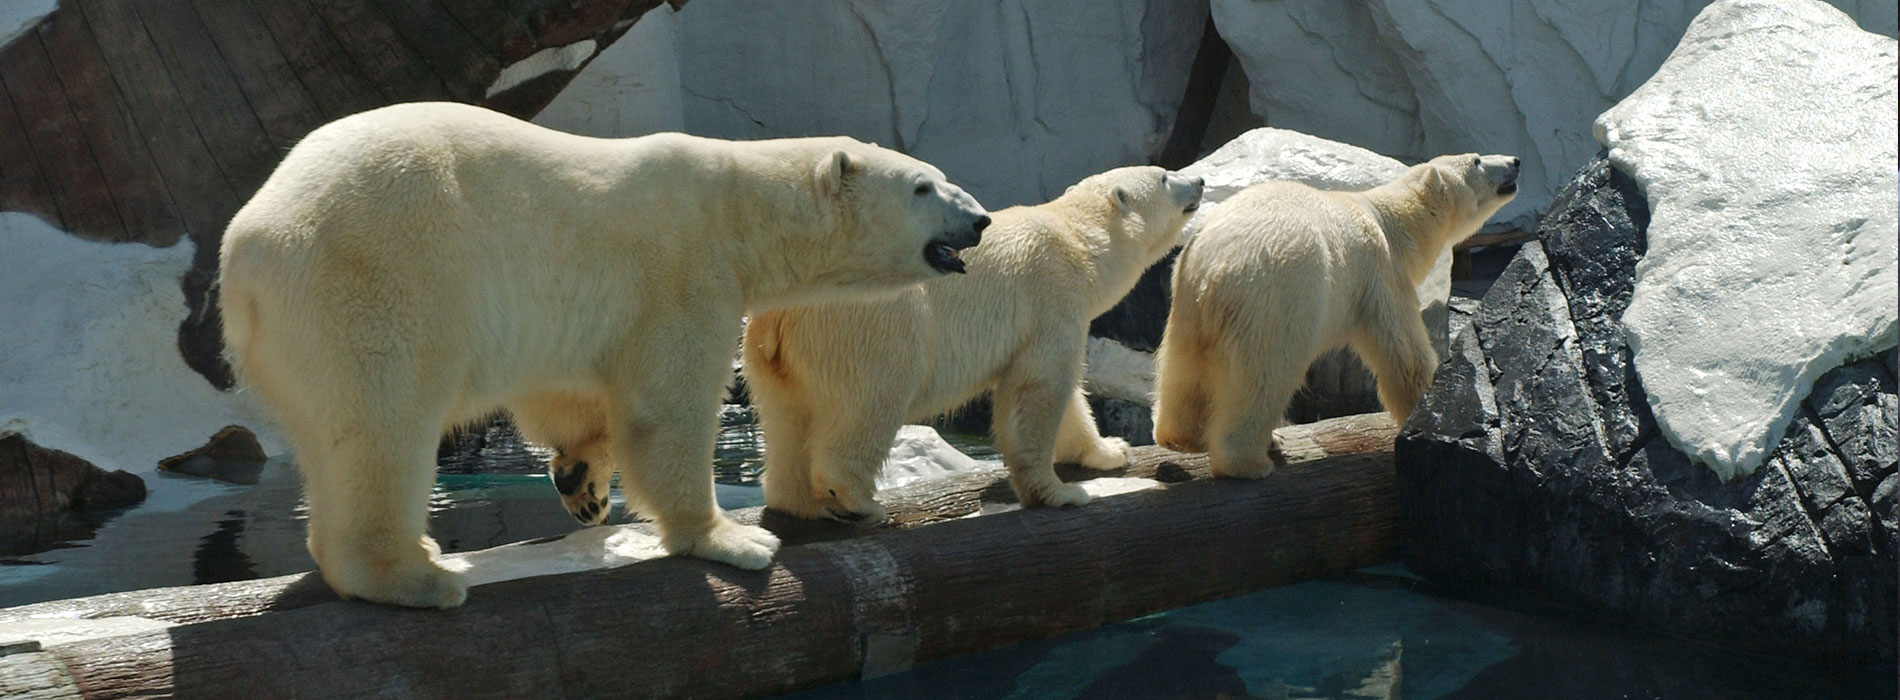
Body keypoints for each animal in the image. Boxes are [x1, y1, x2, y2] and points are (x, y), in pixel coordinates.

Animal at [218, 102, 990, 608]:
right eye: (922, 186)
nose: (979, 218)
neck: (739, 207)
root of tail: (244, 250)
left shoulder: (564, 311)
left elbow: (563, 390)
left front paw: (583, 484)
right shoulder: (682, 269)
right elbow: (667, 407)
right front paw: (731, 540)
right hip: (375, 277)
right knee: (384, 424)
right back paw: (418, 577)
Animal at [739, 166, 1204, 522]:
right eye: (1165, 176)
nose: (1199, 180)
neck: (1077, 240)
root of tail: (783, 309)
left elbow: (1065, 394)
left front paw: (1110, 450)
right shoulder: (1049, 292)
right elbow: (1039, 387)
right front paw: (1061, 493)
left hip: (767, 354)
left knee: (785, 417)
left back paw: (799, 502)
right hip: (871, 323)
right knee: (871, 400)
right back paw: (858, 502)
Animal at [1152, 153, 1519, 479]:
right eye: (1477, 160)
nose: (1515, 161)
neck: (1390, 219)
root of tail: (1214, 266)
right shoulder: (1379, 274)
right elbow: (1404, 357)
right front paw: (1425, 410)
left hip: (1186, 302)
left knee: (1182, 368)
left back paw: (1182, 435)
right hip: (1277, 294)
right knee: (1264, 375)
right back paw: (1249, 461)